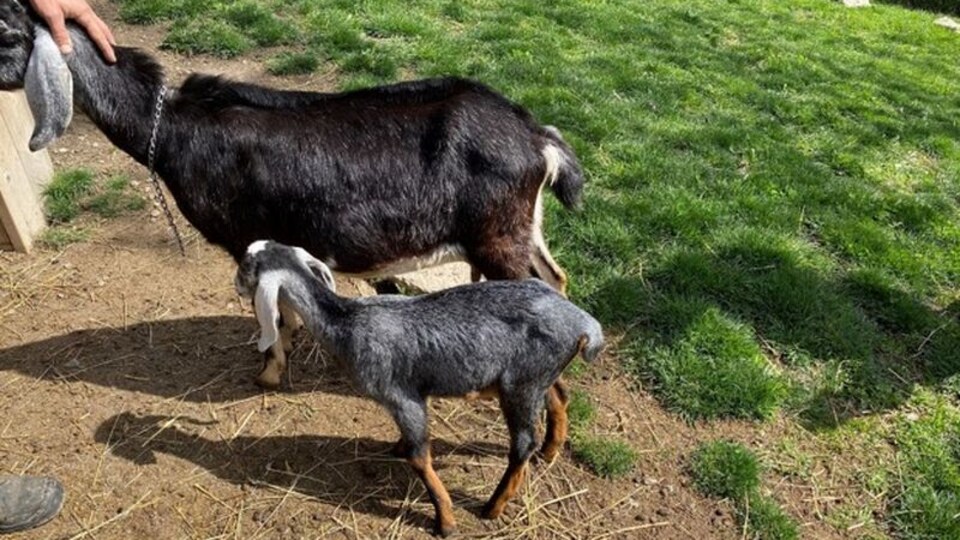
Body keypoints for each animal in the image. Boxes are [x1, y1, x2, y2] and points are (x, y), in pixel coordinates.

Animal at [0, 7, 584, 388]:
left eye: (6, 32)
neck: (172, 129)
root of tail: (537, 138)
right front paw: (297, 333)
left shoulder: (242, 239)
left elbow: (268, 313)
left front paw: (270, 371)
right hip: (521, 226)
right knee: (555, 277)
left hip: (497, 234)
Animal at [234, 240, 600, 536]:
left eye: (246, 265)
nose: (235, 285)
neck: (346, 321)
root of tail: (584, 324)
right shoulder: (410, 399)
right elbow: (409, 444)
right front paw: (396, 447)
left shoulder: (402, 395)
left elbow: (419, 456)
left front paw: (445, 522)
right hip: (538, 376)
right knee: (559, 397)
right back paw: (550, 452)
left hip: (521, 385)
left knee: (523, 443)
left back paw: (493, 507)